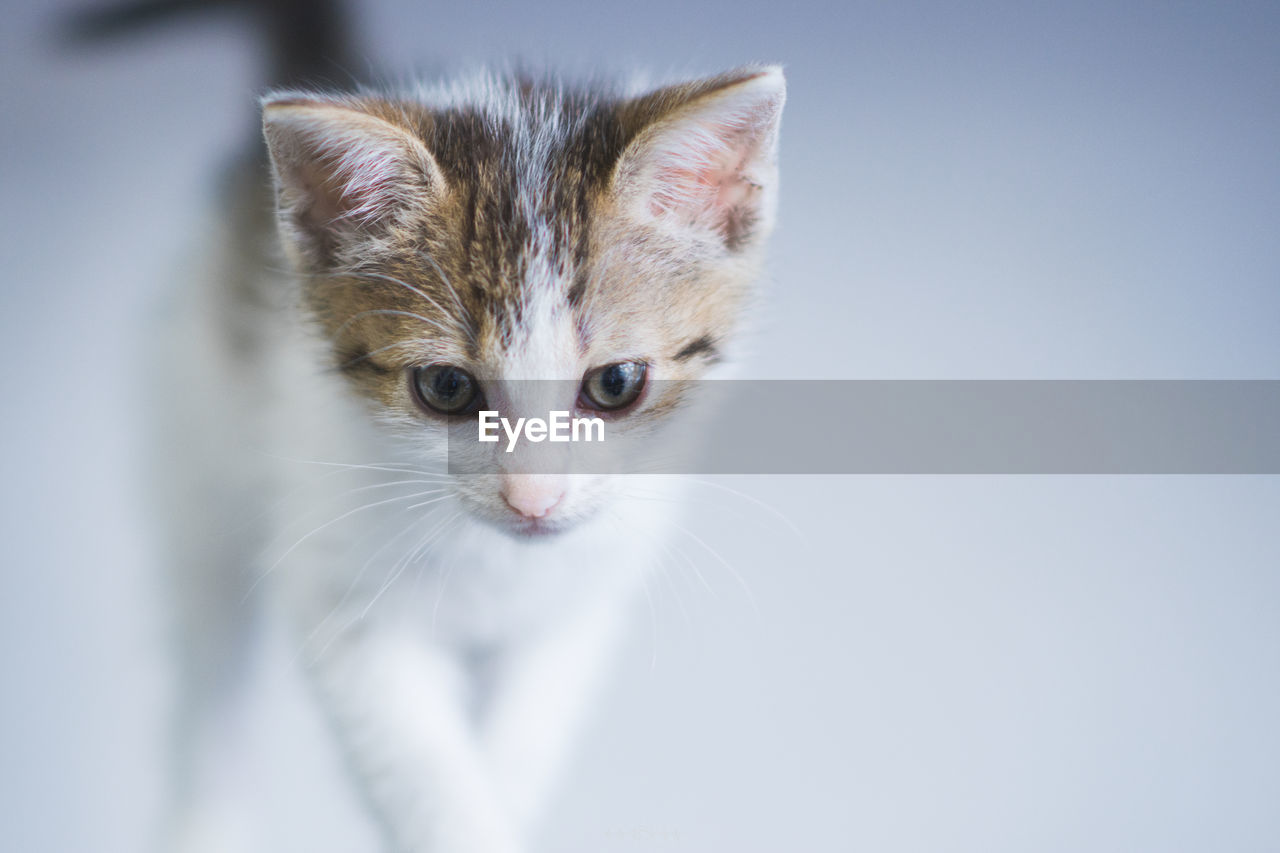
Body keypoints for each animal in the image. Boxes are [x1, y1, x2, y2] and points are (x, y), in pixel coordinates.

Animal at [137, 3, 778, 845]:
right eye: (445, 386)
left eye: (615, 383)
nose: (532, 500)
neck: (494, 565)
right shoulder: (342, 592)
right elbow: (426, 774)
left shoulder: (575, 609)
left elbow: (520, 746)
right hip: (193, 432)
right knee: (207, 673)